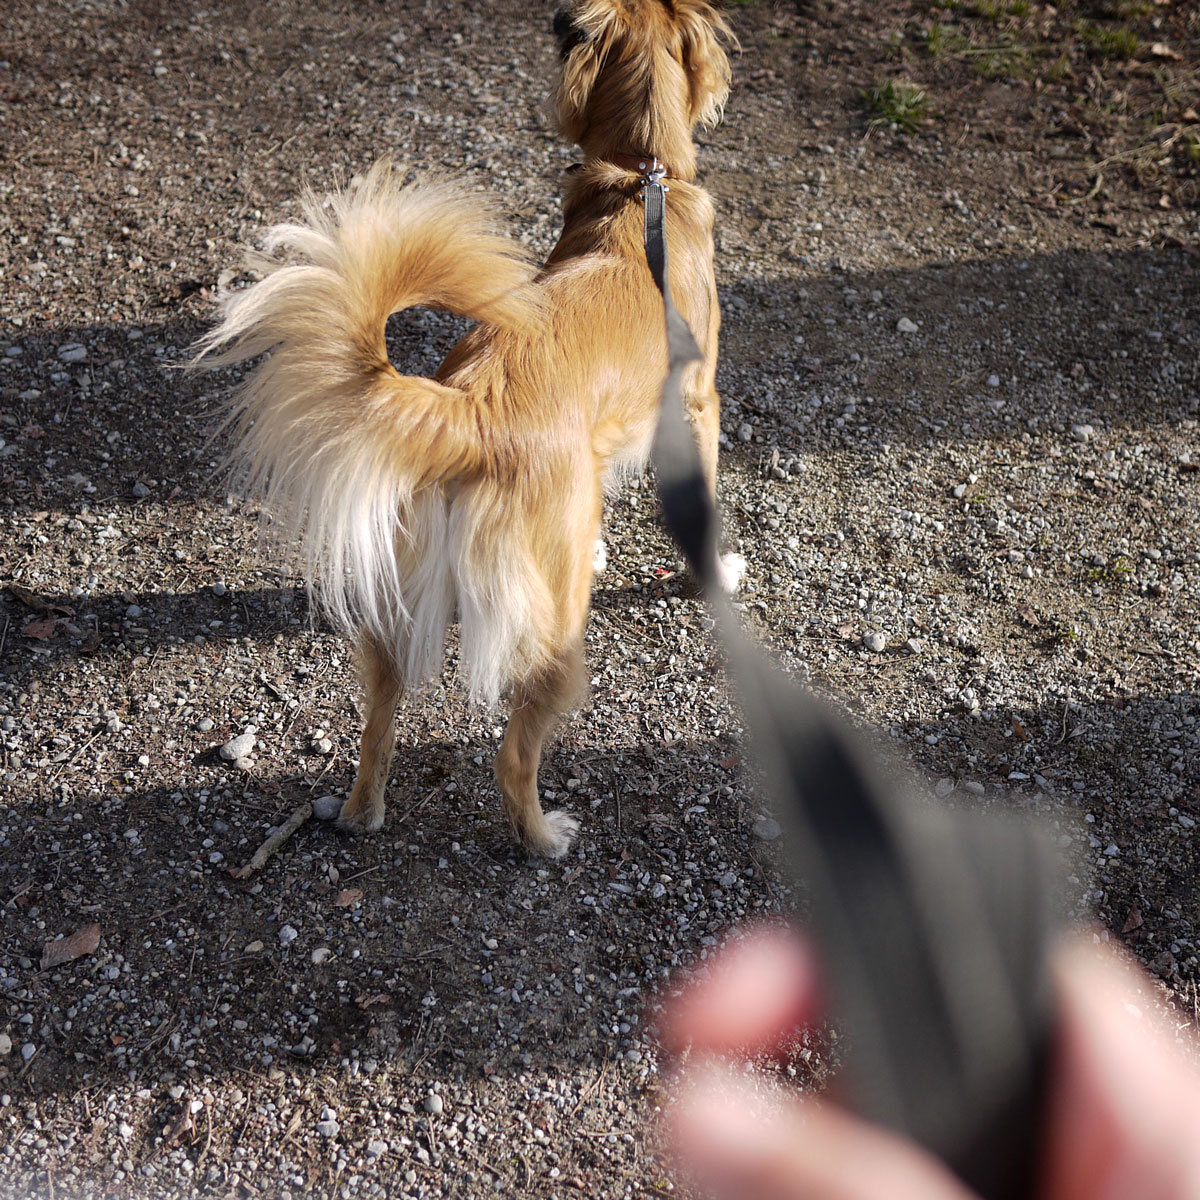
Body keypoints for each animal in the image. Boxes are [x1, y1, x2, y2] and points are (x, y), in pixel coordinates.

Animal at [195, 2, 734, 864]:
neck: (639, 179)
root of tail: (468, 411)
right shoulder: (698, 404)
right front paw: (712, 574)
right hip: (558, 642)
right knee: (513, 754)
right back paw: (544, 838)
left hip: (394, 598)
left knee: (377, 724)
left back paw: (361, 813)